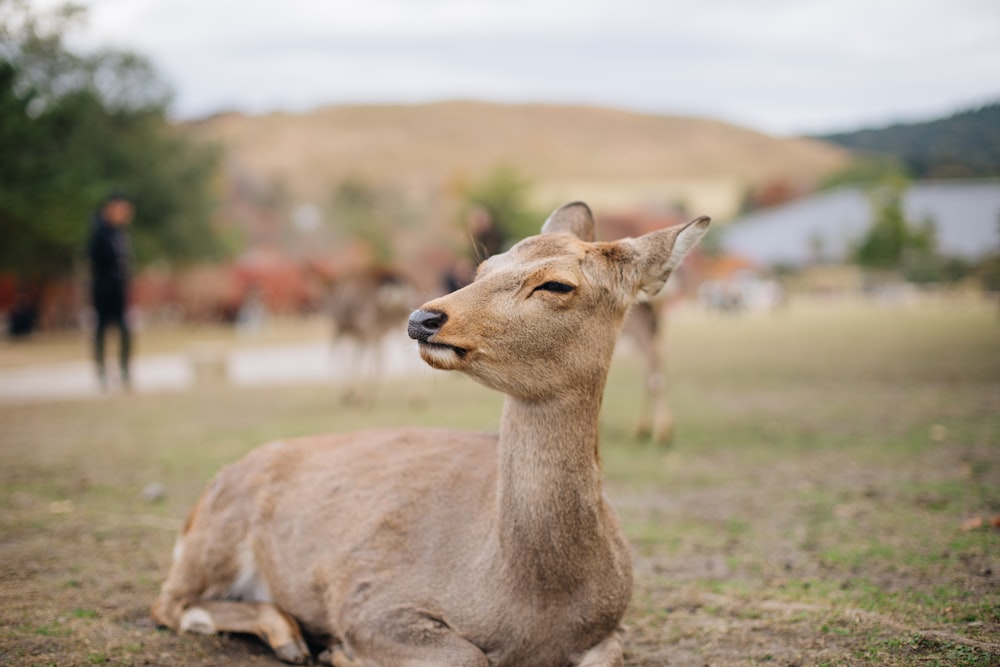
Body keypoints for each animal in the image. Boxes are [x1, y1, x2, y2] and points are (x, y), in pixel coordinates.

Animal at [150, 204, 712, 667]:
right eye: (484, 268)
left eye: (556, 284)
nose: (423, 317)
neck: (533, 603)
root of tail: (202, 499)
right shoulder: (371, 597)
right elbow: (466, 656)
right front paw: (345, 653)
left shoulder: (610, 628)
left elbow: (608, 655)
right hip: (217, 537)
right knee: (170, 602)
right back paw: (292, 639)